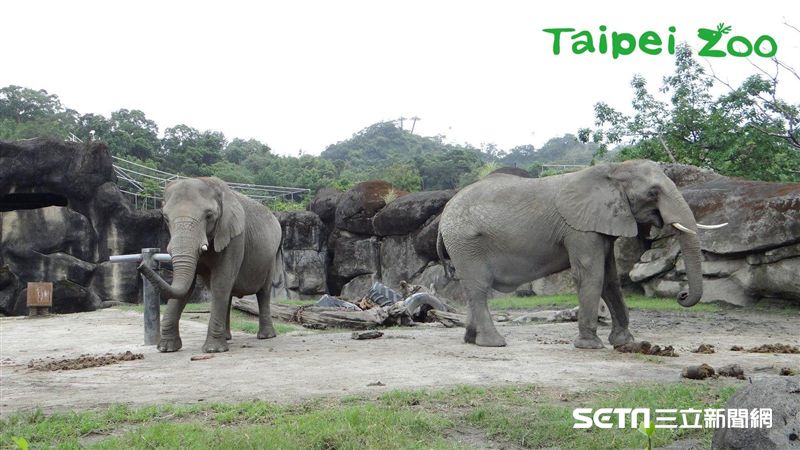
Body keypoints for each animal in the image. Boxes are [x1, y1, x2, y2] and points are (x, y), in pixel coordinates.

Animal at [138, 177, 283, 353]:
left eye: (209, 215)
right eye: (165, 218)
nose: (141, 265)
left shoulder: (234, 237)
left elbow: (221, 281)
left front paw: (213, 350)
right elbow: (188, 288)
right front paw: (166, 349)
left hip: (270, 258)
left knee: (263, 293)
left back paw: (265, 336)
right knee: (230, 293)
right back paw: (227, 337)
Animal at [436, 160, 726, 348]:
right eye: (653, 193)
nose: (682, 296)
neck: (612, 171)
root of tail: (444, 213)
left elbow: (610, 279)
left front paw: (624, 342)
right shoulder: (579, 229)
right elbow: (591, 274)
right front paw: (590, 345)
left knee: (471, 289)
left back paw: (471, 340)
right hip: (466, 242)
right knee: (479, 287)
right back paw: (494, 343)